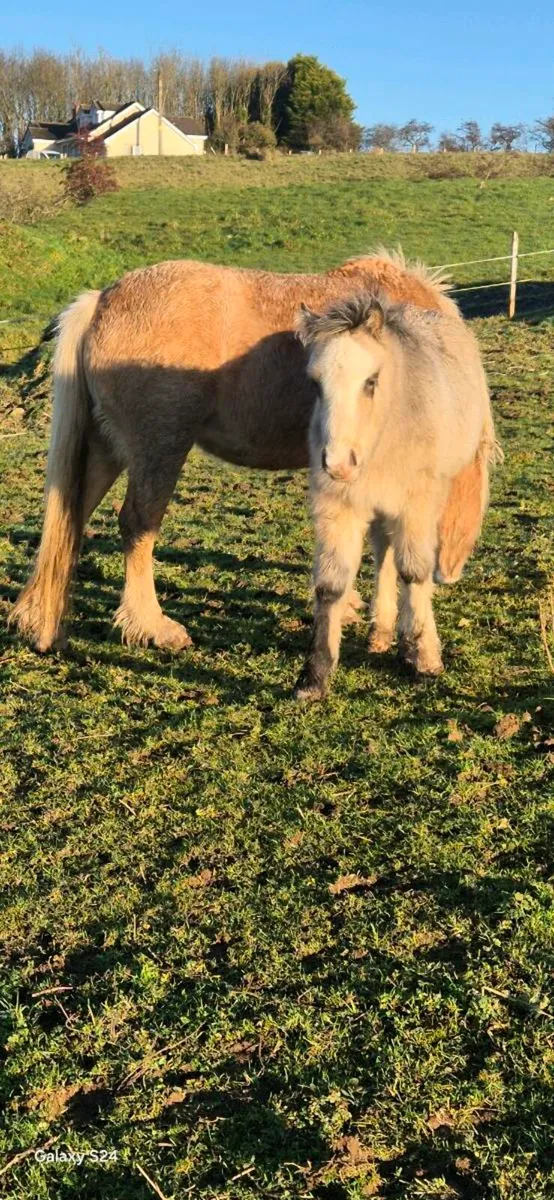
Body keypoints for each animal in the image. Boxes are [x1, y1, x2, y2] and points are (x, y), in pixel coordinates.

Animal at [10, 251, 490, 655]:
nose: (451, 571)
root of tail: (101, 302)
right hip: (159, 448)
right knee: (137, 525)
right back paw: (152, 626)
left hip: (109, 448)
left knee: (69, 513)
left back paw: (39, 622)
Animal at [294, 290, 499, 700]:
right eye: (315, 384)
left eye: (371, 381)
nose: (338, 463)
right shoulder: (339, 506)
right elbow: (330, 584)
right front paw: (314, 677)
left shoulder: (416, 505)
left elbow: (415, 572)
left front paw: (423, 656)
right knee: (383, 550)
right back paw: (382, 630)